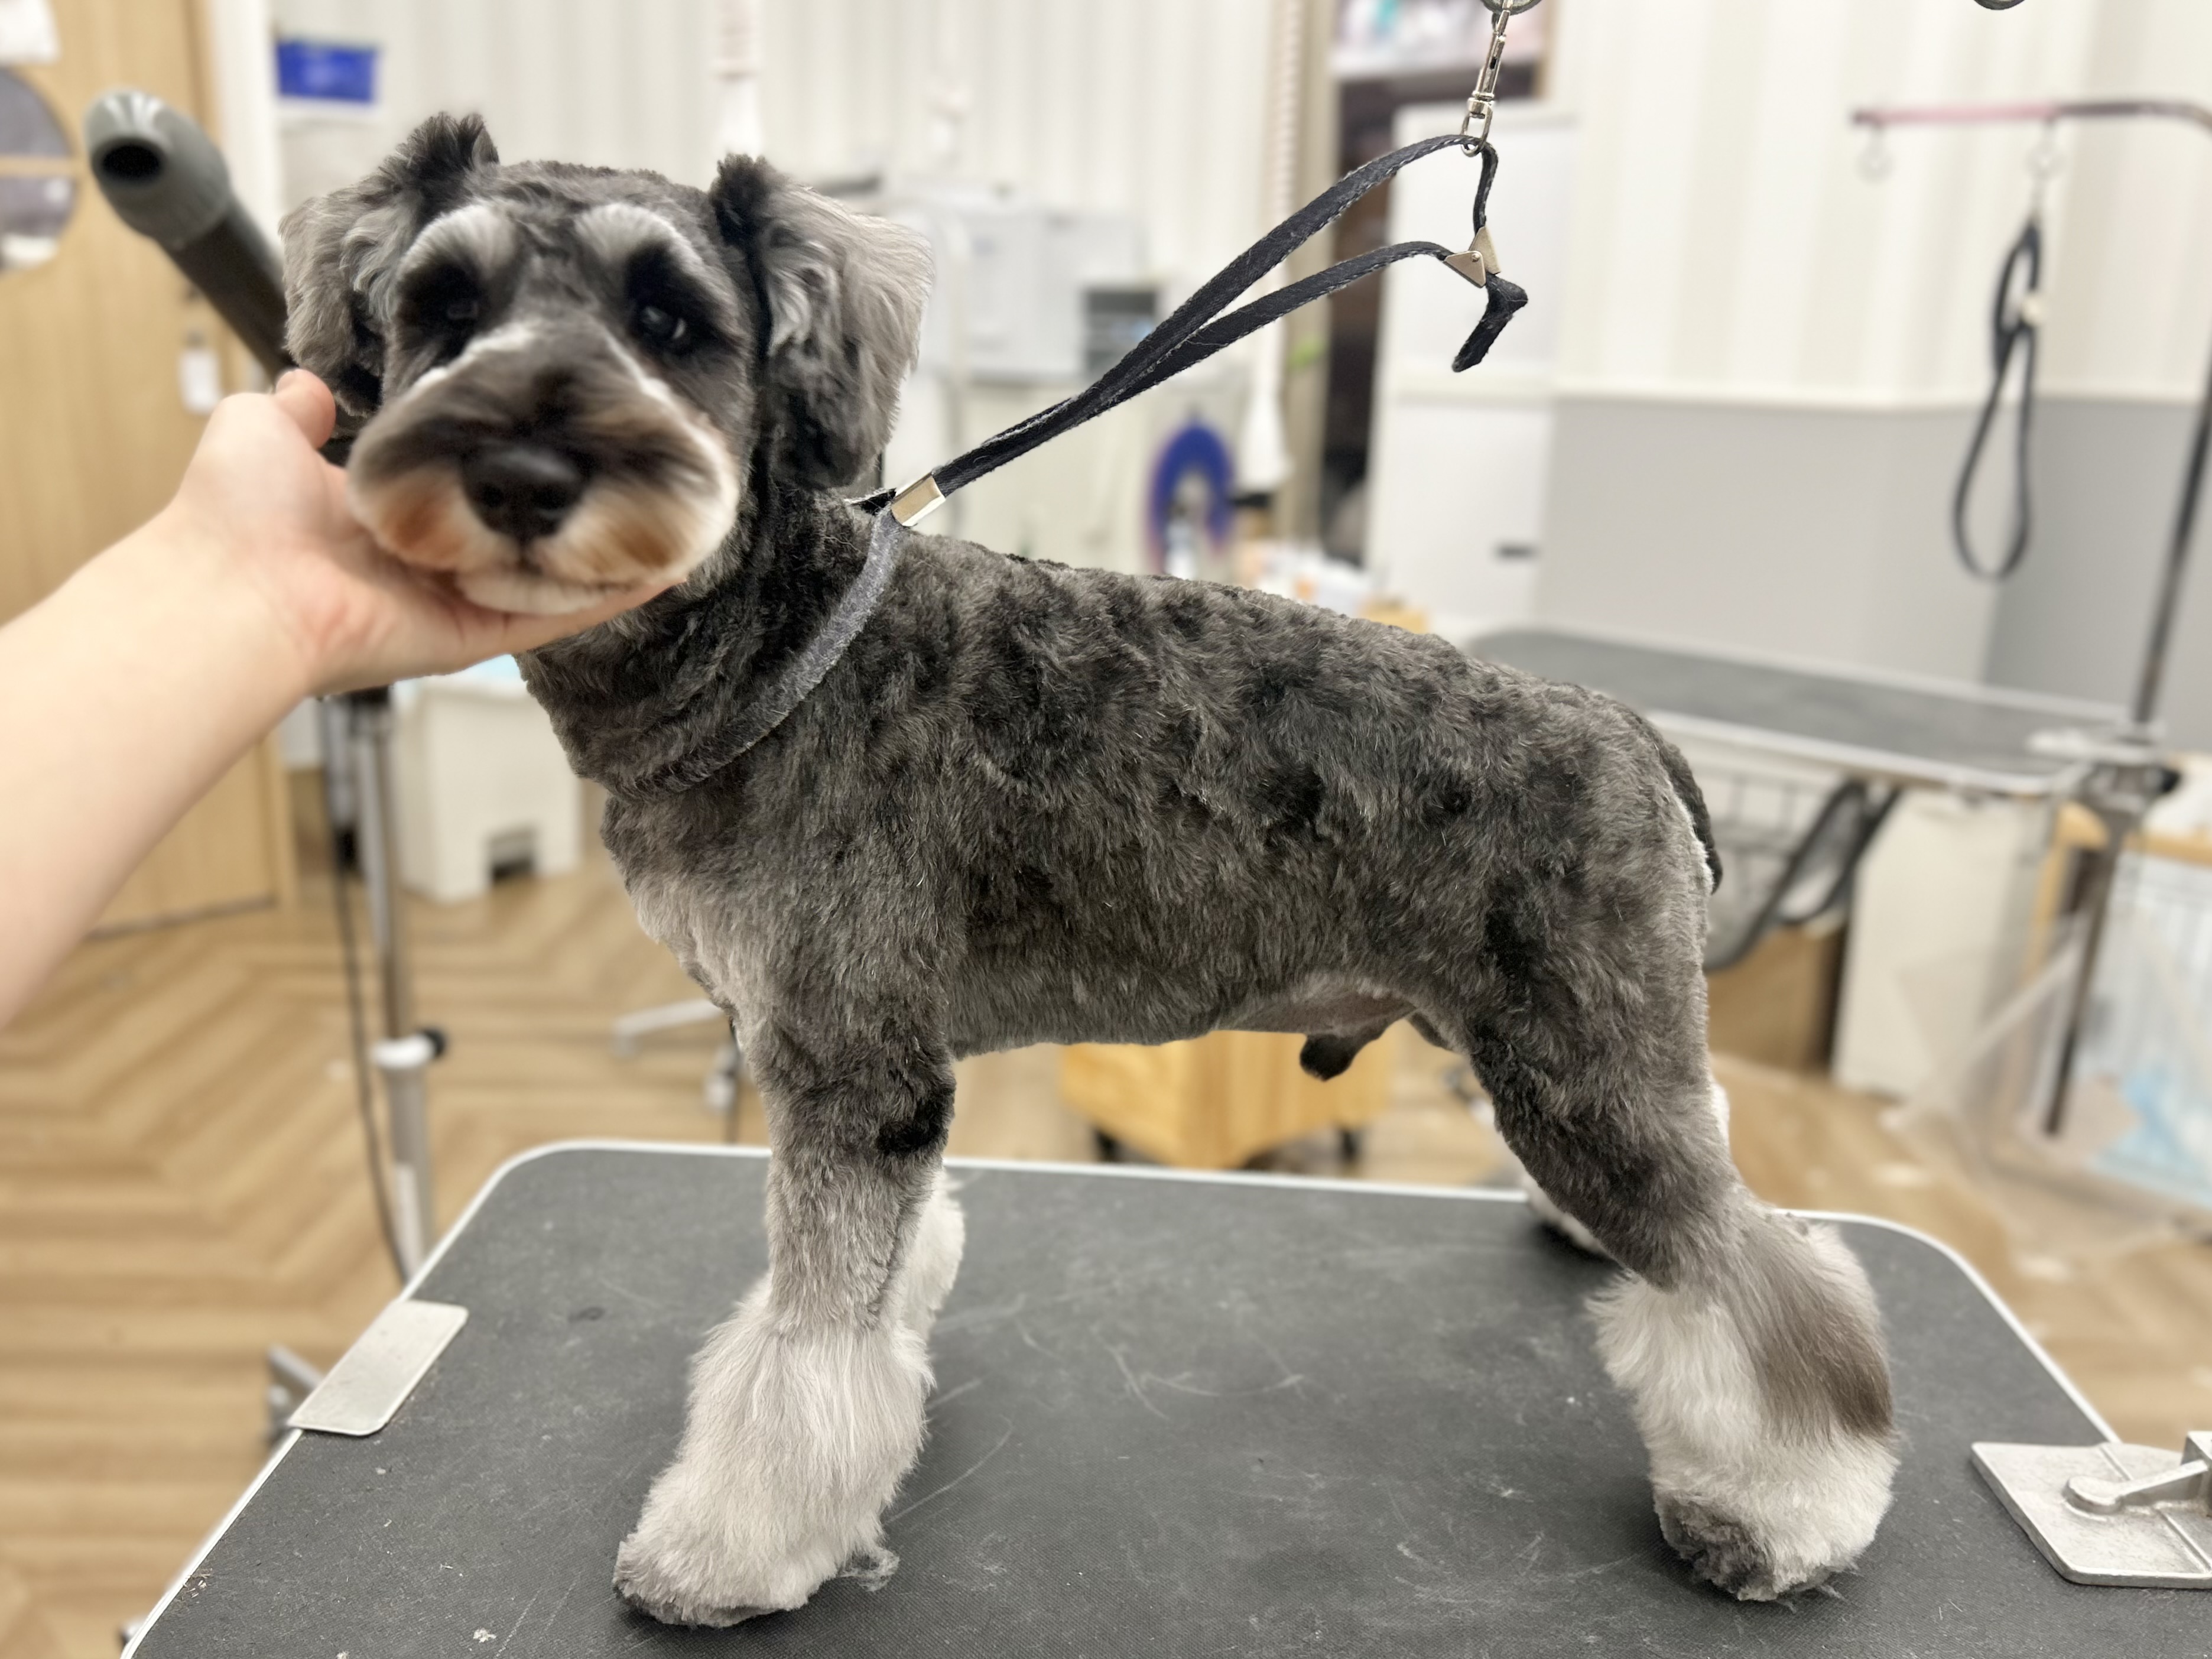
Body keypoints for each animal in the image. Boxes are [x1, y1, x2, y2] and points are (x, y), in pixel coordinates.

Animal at [283, 115, 1899, 1625]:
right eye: (440, 307)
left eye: (672, 320)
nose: (520, 468)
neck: (771, 647)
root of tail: (1622, 729)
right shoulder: (868, 1076)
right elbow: (868, 1284)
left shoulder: (848, 1064)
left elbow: (803, 1353)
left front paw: (730, 1546)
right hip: (1592, 1049)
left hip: (1579, 1078)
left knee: (1773, 1285)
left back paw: (1780, 1513)